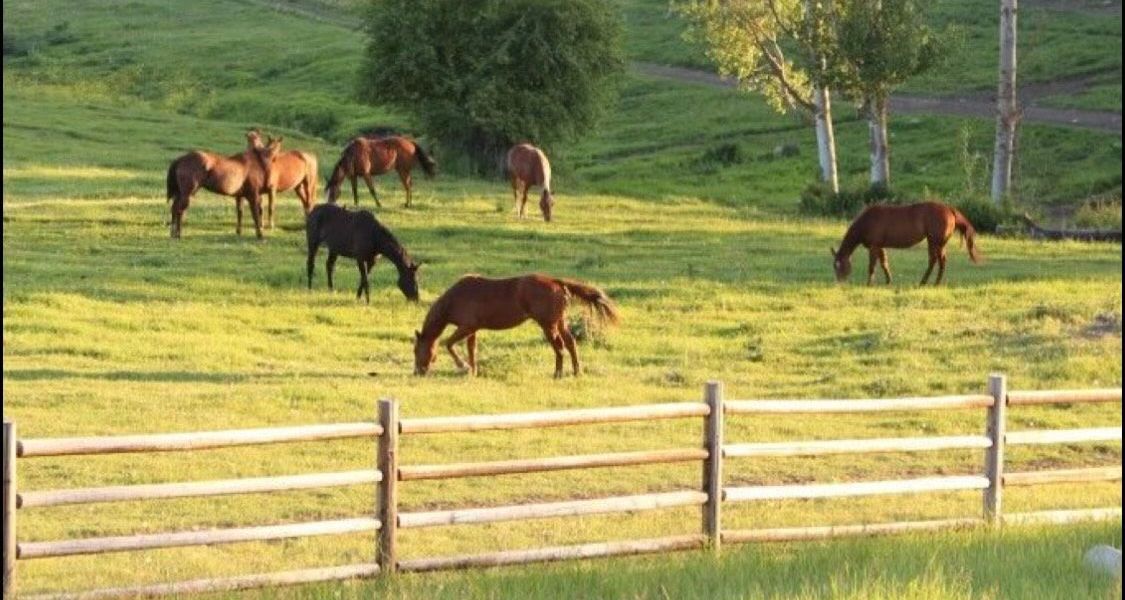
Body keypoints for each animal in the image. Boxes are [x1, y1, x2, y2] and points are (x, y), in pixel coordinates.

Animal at [413, 274, 619, 378]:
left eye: (415, 350)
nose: (417, 372)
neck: (455, 298)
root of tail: (556, 281)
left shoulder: (466, 327)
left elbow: (448, 344)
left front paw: (462, 365)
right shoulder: (472, 330)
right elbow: (472, 350)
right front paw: (472, 371)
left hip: (548, 326)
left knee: (559, 347)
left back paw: (558, 374)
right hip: (559, 322)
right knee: (570, 343)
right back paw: (576, 372)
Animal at [830, 201, 982, 286]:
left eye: (840, 265)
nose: (840, 283)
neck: (867, 221)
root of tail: (949, 209)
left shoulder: (874, 247)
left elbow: (872, 266)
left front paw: (869, 284)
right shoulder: (880, 246)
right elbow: (884, 263)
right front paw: (888, 281)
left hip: (935, 242)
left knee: (937, 261)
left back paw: (930, 283)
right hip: (936, 243)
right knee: (936, 261)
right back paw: (928, 282)